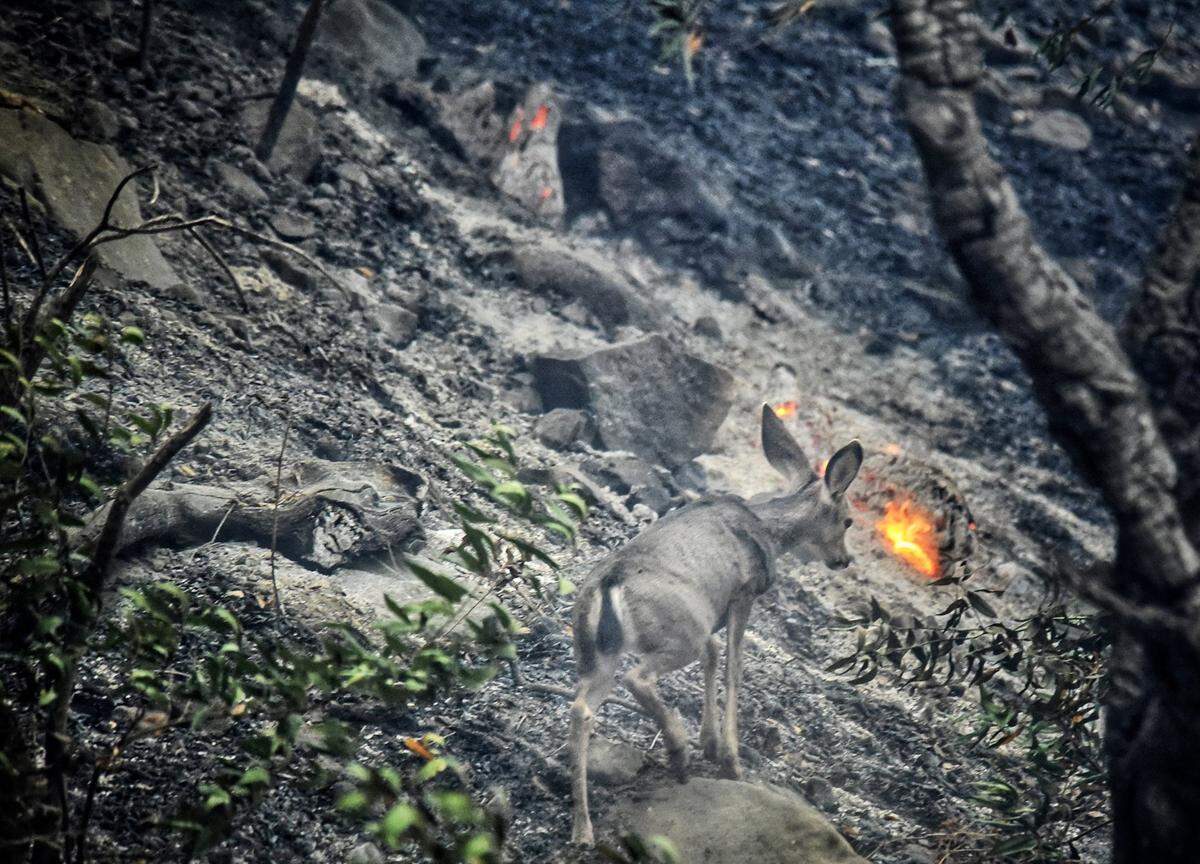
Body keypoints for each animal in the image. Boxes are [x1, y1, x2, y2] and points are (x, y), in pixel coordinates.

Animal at [568, 404, 864, 845]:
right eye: (847, 521)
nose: (843, 561)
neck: (770, 530)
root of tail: (609, 585)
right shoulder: (743, 593)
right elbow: (733, 667)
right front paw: (729, 758)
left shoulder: (711, 613)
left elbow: (714, 654)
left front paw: (709, 742)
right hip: (676, 632)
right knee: (638, 678)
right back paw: (677, 750)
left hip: (597, 651)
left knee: (581, 708)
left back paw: (583, 827)